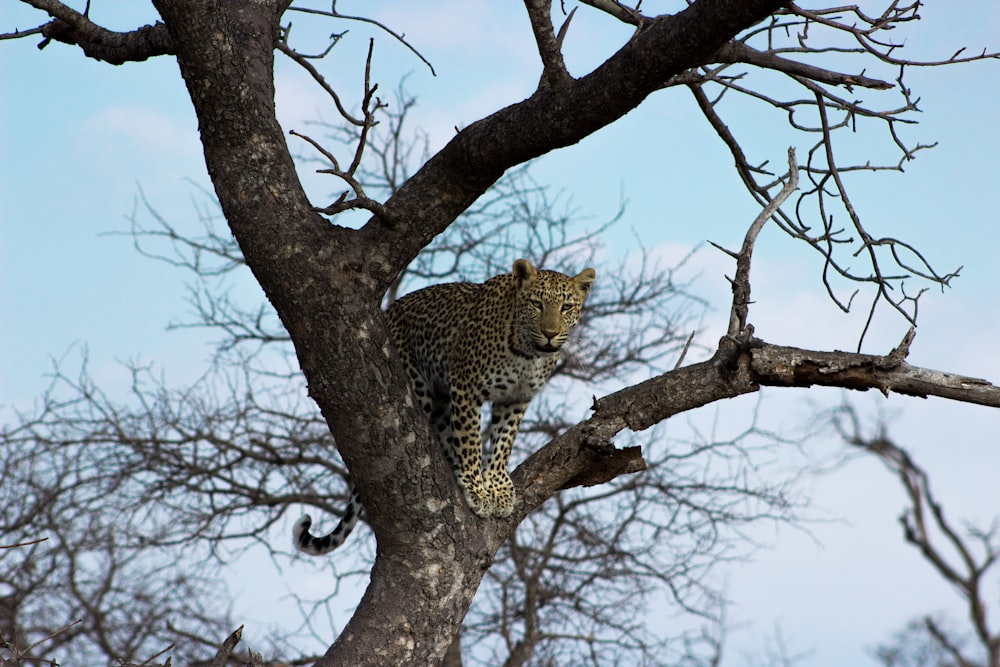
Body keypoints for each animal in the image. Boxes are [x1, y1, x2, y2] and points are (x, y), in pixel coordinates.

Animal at [292, 258, 596, 556]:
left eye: (566, 307)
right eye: (536, 303)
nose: (550, 333)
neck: (528, 353)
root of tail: (389, 311)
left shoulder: (515, 399)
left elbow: (503, 443)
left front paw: (498, 488)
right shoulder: (466, 386)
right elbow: (471, 441)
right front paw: (477, 489)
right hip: (419, 386)